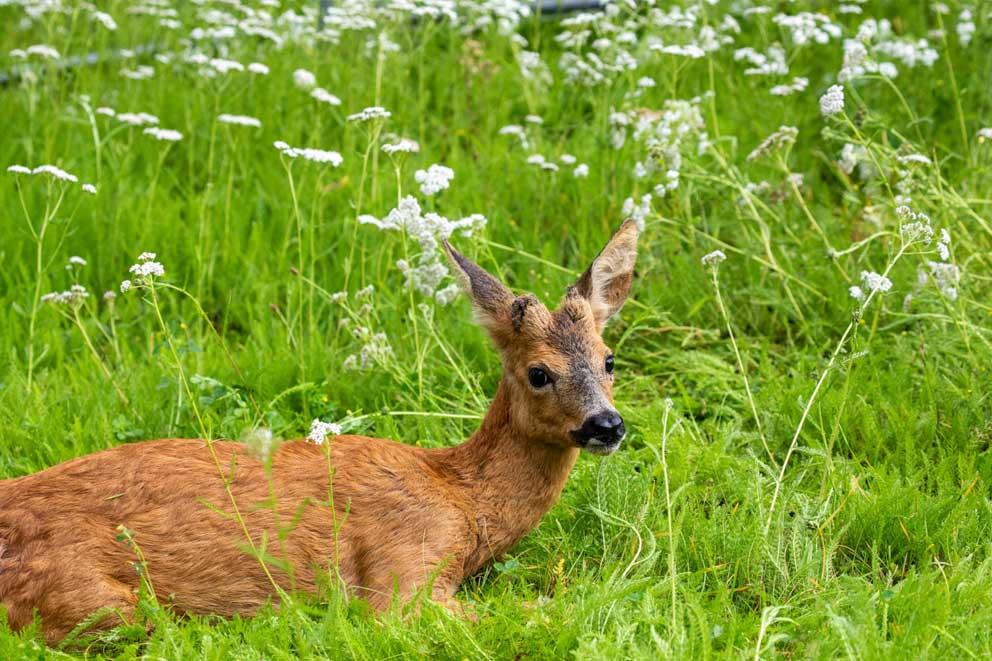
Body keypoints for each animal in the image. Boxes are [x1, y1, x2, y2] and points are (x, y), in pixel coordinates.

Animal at [0, 219, 644, 640]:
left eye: (609, 359)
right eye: (539, 372)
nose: (606, 425)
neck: (460, 496)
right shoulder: (404, 571)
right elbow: (540, 611)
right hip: (94, 599)